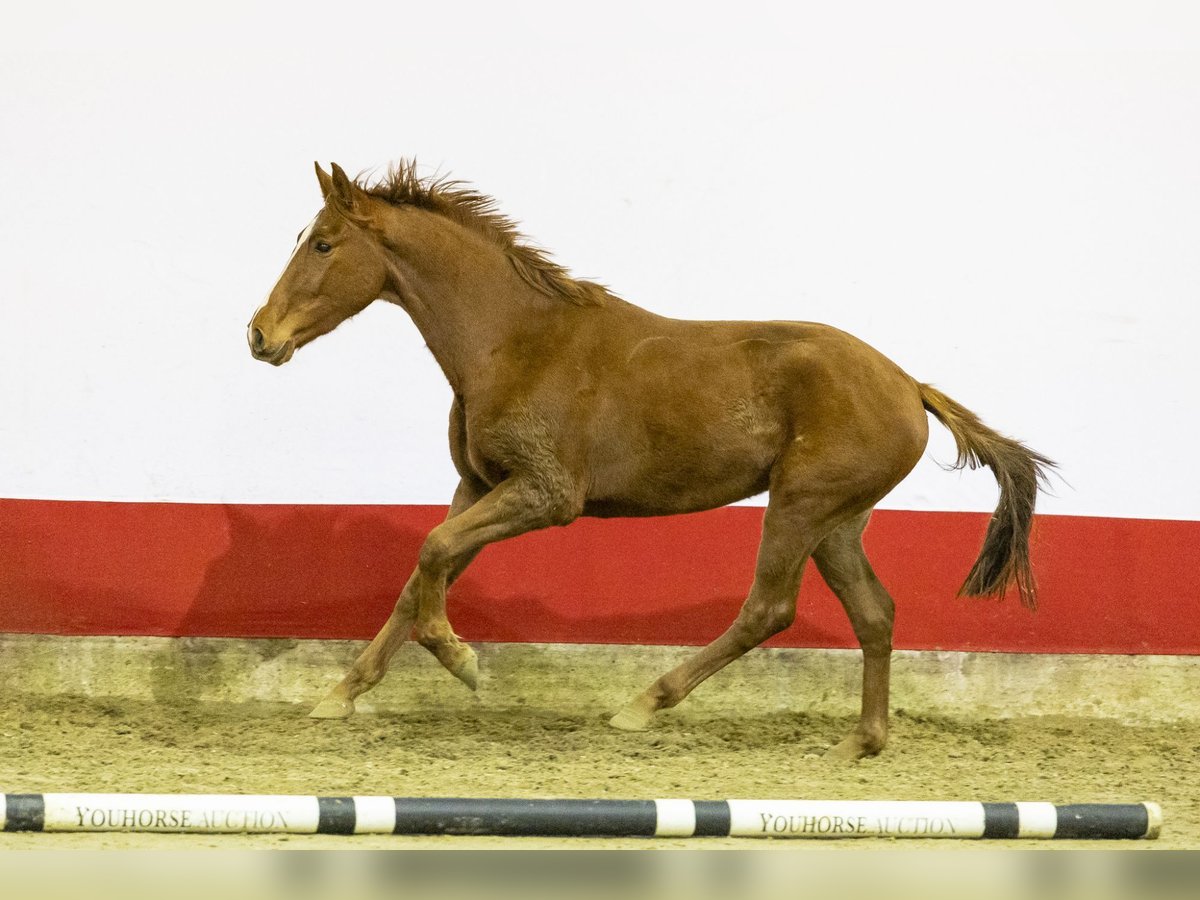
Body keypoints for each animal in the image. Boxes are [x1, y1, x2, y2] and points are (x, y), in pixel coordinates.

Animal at [248, 161, 1053, 760]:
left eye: (322, 244)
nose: (259, 334)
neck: (512, 340)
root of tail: (910, 386)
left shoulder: (545, 494)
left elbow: (432, 553)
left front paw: (463, 661)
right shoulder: (478, 484)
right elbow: (419, 576)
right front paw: (339, 695)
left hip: (801, 505)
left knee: (769, 608)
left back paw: (641, 705)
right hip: (838, 522)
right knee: (875, 613)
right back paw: (861, 743)